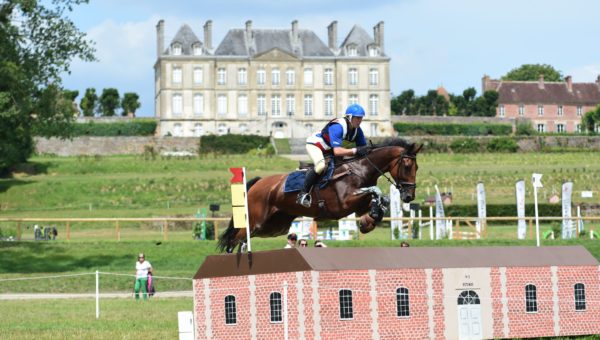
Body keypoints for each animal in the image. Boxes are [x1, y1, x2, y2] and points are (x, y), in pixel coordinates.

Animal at [217, 138, 422, 252]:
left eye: (417, 167)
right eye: (406, 166)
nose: (408, 197)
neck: (360, 169)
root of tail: (257, 183)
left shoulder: (359, 205)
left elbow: (378, 201)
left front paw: (370, 220)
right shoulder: (344, 204)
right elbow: (376, 191)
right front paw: (372, 215)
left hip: (274, 227)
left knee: (242, 239)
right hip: (257, 222)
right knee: (235, 238)